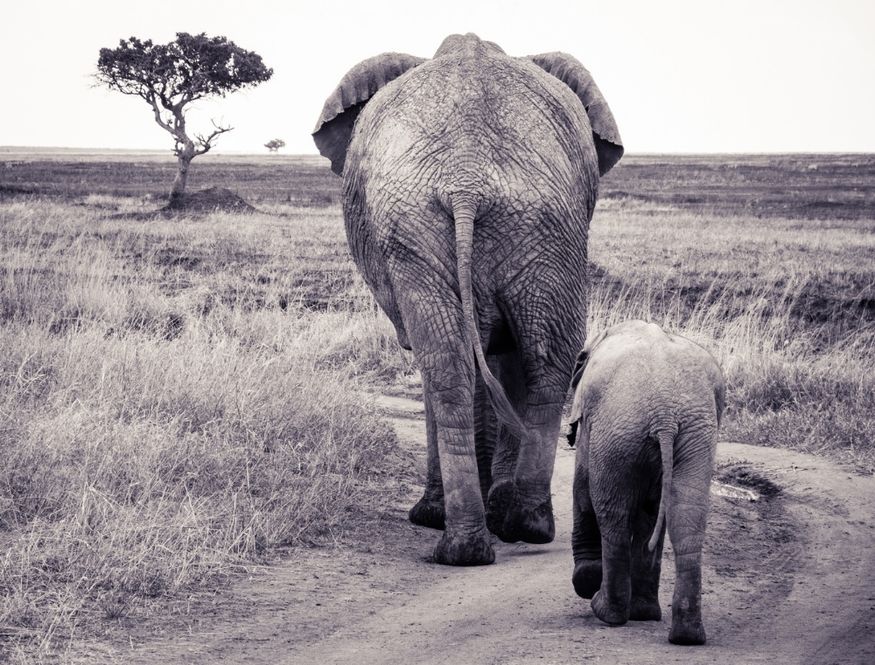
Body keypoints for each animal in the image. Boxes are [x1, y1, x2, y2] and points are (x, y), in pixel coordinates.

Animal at [312, 33, 623, 566]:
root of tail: (466, 180)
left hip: (508, 227)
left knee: (463, 366)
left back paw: (479, 536)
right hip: (534, 229)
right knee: (536, 362)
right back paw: (504, 534)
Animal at [567, 320, 725, 644]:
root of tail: (665, 417)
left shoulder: (590, 423)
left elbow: (582, 489)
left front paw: (586, 580)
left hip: (617, 435)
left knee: (612, 515)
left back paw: (606, 611)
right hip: (691, 436)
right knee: (685, 518)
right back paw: (683, 633)